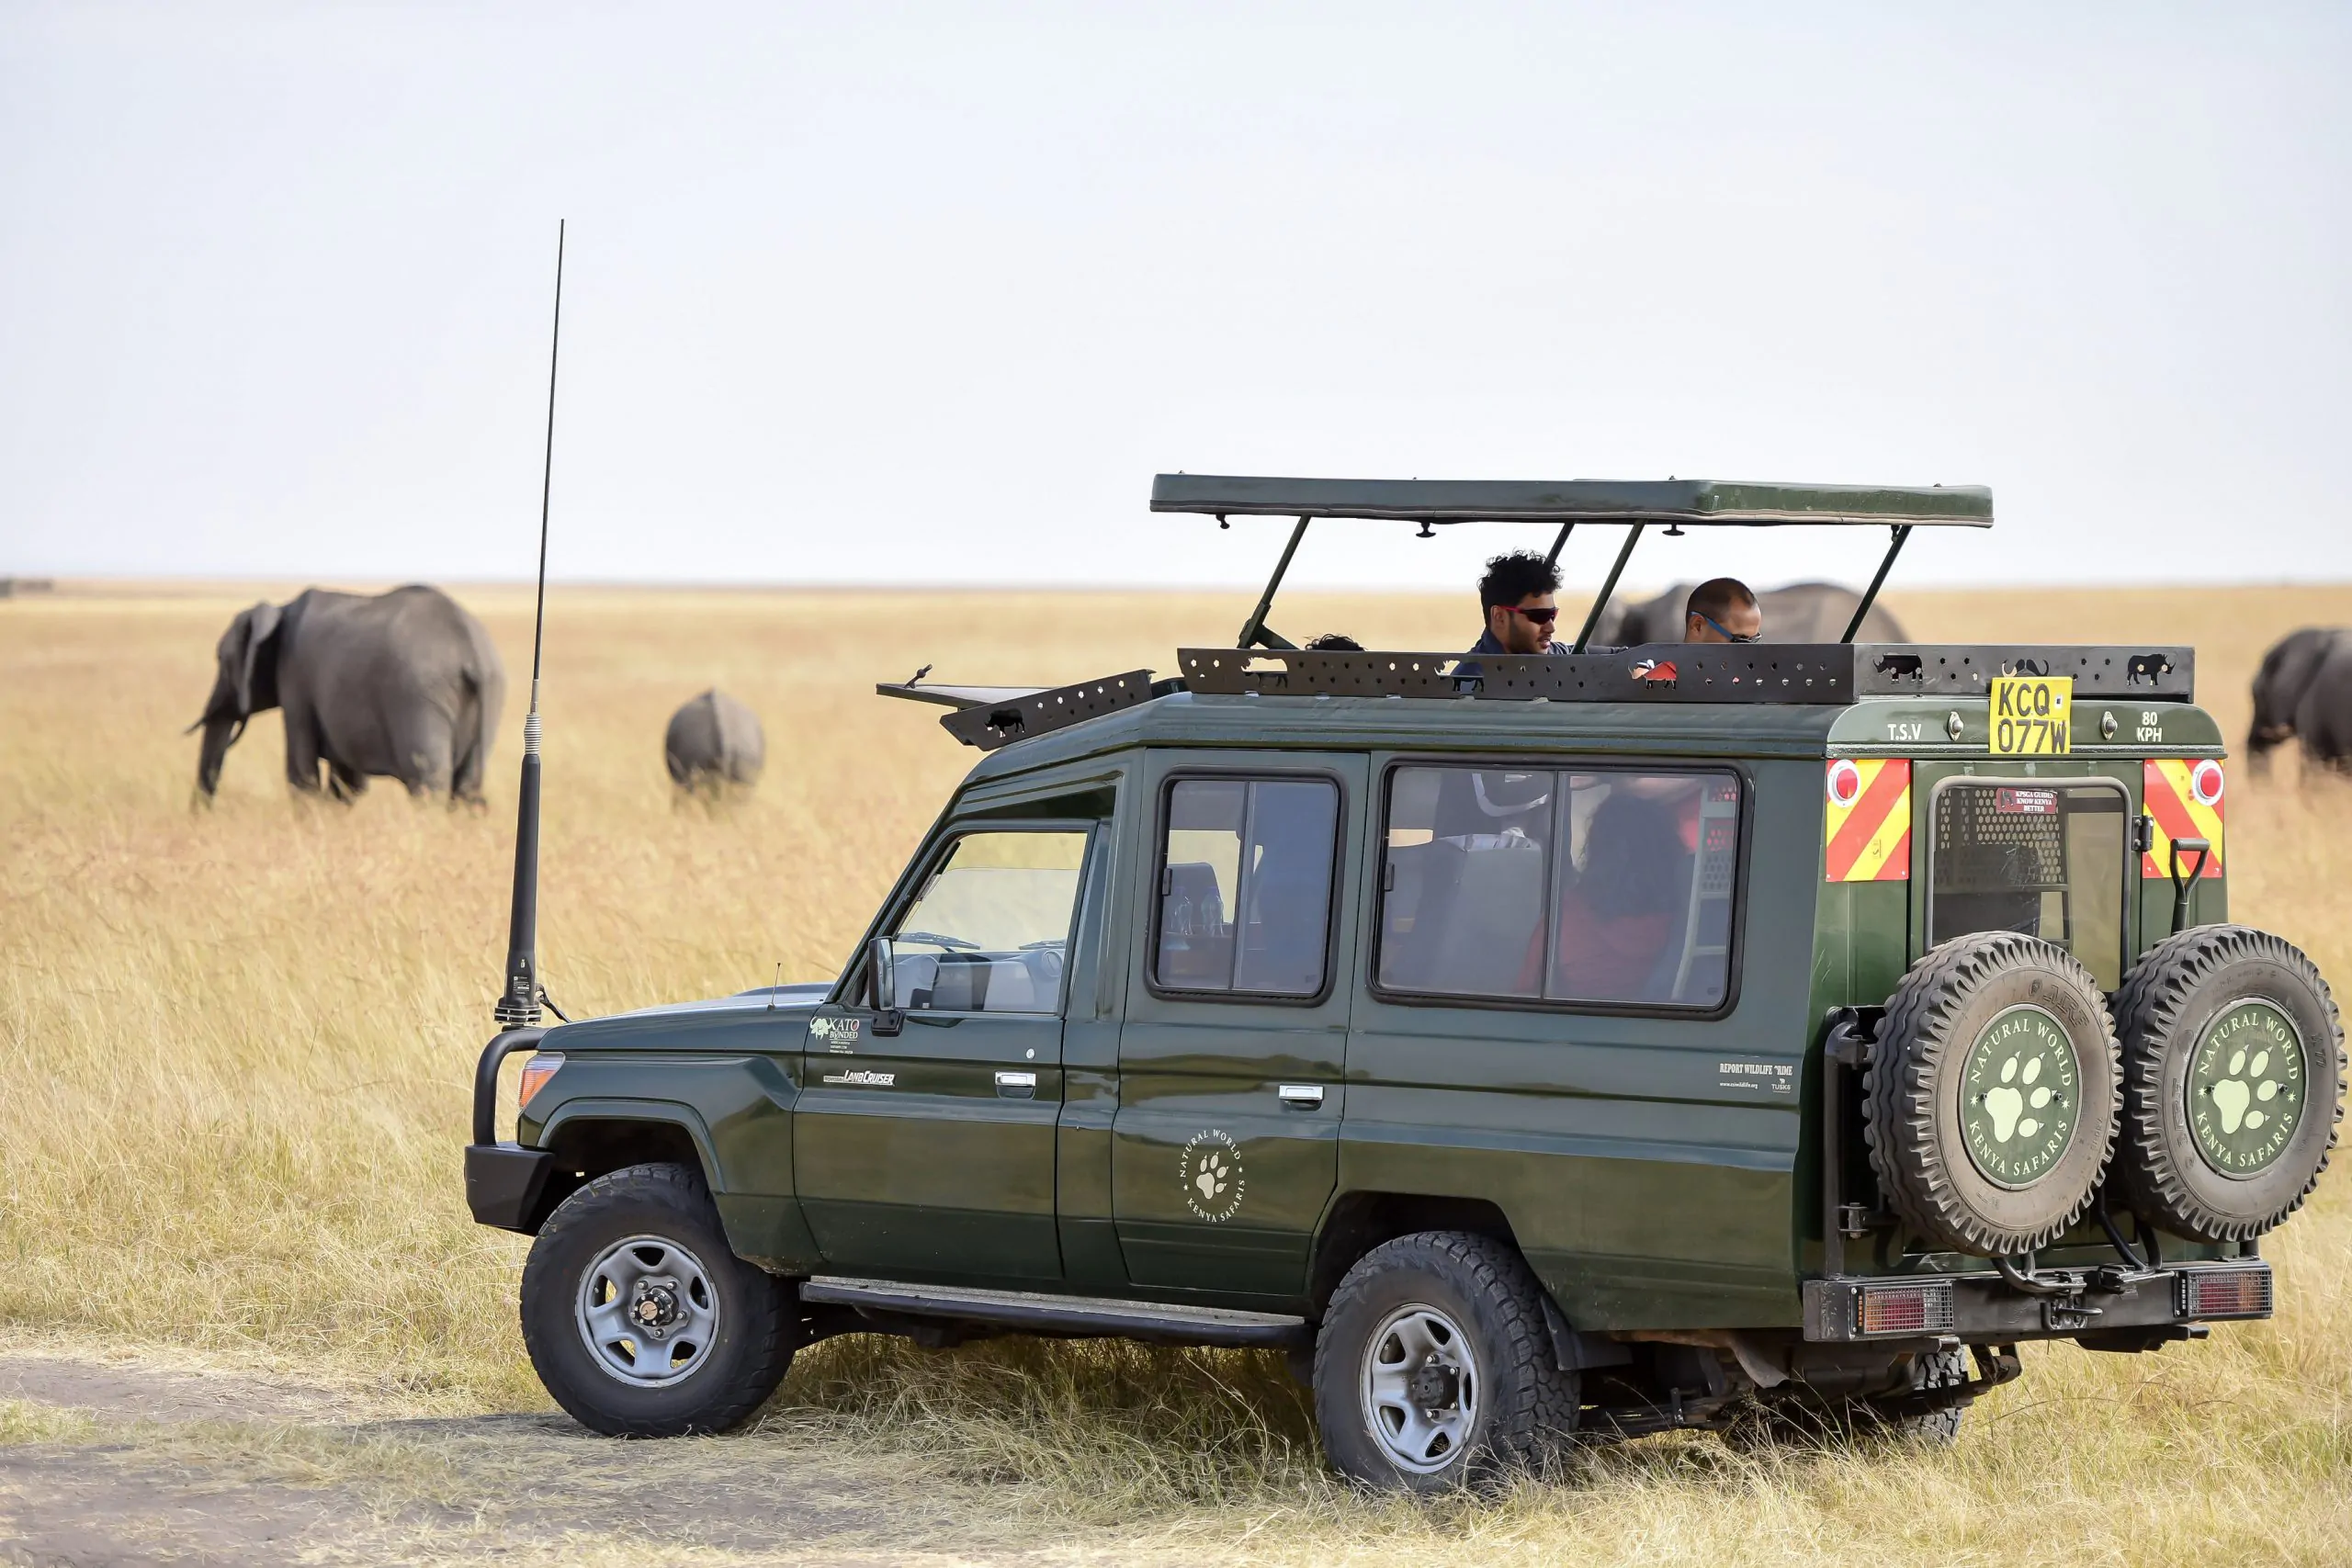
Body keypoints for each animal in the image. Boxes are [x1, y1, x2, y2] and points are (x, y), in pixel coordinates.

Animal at [189, 587, 505, 808]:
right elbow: (346, 781)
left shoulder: (295, 678)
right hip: (490, 694)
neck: (280, 611)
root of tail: (471, 651)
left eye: (221, 660)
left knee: (428, 783)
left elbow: (302, 771)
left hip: (420, 696)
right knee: (466, 787)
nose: (204, 816)